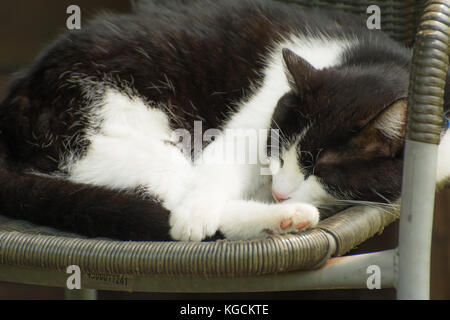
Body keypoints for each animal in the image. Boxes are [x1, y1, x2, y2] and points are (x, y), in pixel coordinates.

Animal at [0, 0, 450, 240]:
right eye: (276, 148)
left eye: (320, 168)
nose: (281, 192)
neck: (368, 57)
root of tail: (19, 92)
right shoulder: (248, 124)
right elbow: (215, 173)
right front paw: (196, 216)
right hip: (101, 133)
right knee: (172, 199)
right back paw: (279, 217)